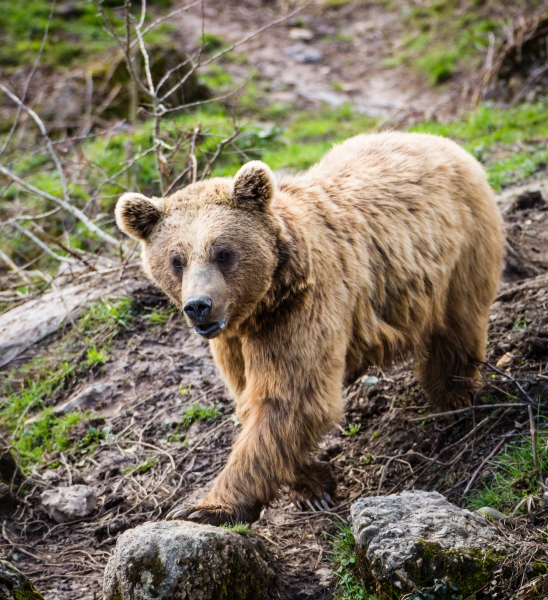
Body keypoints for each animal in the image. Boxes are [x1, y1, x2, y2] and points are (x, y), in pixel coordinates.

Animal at [115, 132, 506, 524]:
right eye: (176, 260)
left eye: (222, 252)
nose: (198, 306)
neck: (262, 302)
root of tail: (436, 139)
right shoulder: (233, 342)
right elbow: (258, 404)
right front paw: (313, 486)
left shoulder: (302, 309)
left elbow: (291, 397)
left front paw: (205, 507)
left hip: (460, 254)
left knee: (456, 329)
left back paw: (454, 399)